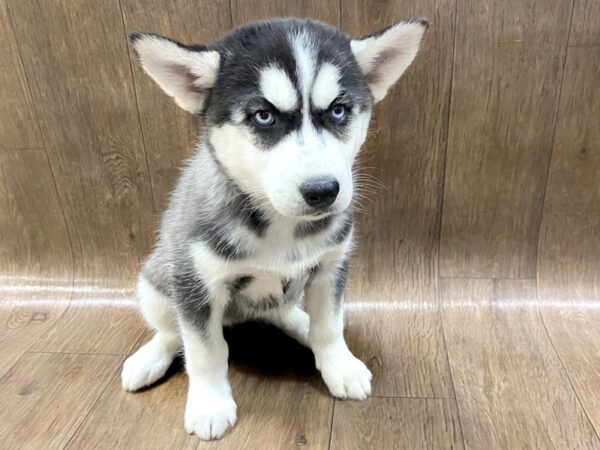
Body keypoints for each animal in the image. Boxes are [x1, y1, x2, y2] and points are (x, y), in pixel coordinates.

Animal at [123, 16, 426, 440]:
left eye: (338, 110)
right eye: (263, 116)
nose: (323, 191)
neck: (281, 225)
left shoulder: (332, 266)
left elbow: (330, 326)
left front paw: (339, 365)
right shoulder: (196, 283)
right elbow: (205, 351)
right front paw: (209, 404)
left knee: (285, 310)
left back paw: (300, 323)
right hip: (154, 282)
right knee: (171, 331)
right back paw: (150, 357)